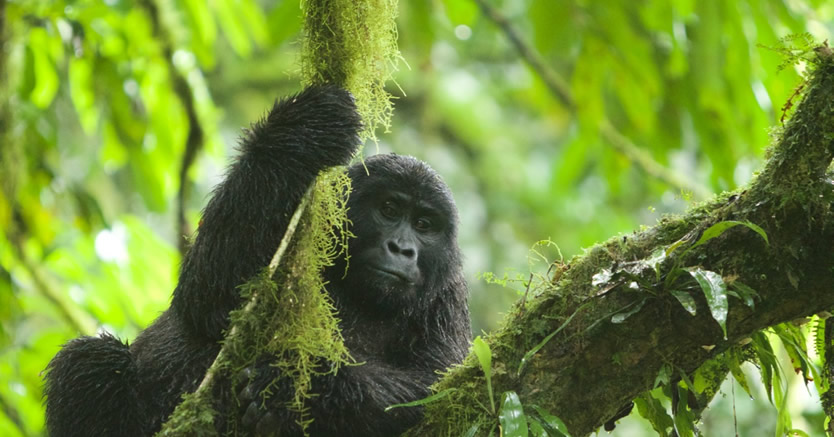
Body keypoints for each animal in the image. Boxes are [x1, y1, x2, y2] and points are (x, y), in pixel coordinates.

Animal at [45, 86, 472, 436]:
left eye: (424, 225)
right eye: (388, 209)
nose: (402, 248)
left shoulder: (448, 297)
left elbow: (436, 386)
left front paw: (306, 390)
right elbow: (209, 297)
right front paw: (300, 133)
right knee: (87, 360)